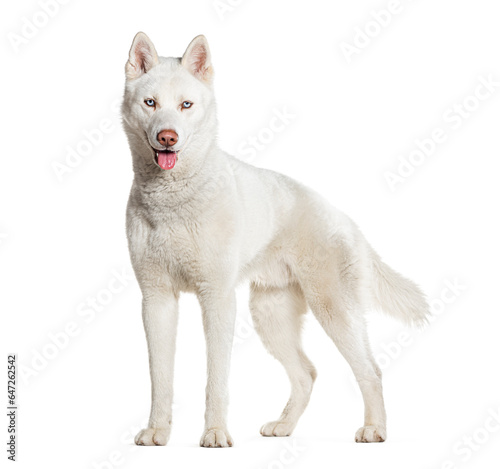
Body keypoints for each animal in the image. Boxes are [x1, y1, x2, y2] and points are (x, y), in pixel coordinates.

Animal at [122, 31, 430, 448]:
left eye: (186, 105)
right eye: (150, 103)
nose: (167, 137)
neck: (173, 201)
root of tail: (346, 219)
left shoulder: (217, 299)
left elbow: (215, 380)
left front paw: (215, 433)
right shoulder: (156, 300)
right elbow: (160, 378)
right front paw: (157, 431)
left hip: (334, 311)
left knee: (371, 370)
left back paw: (375, 429)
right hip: (270, 316)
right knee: (307, 373)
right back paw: (284, 426)